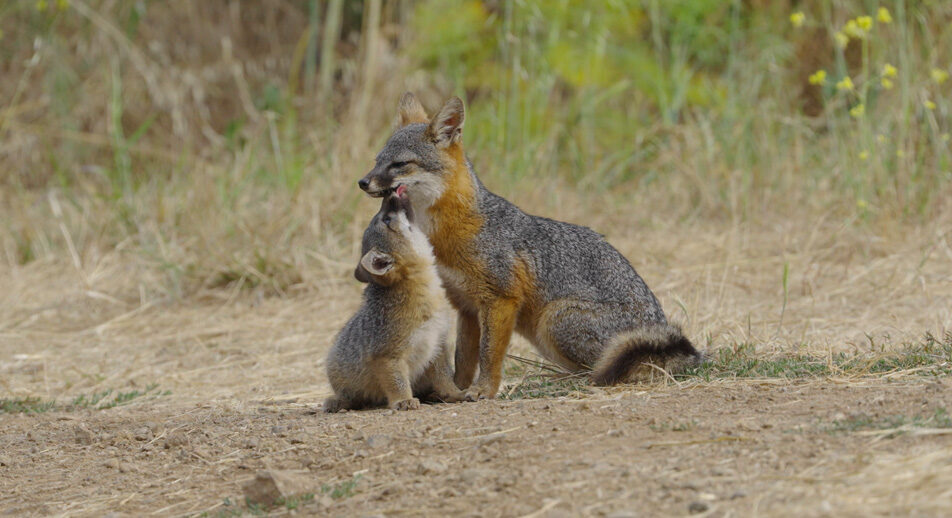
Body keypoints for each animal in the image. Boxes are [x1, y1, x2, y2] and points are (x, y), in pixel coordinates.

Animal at [323, 187, 464, 412]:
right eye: (387, 220)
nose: (389, 194)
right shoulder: (387, 354)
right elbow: (397, 382)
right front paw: (403, 400)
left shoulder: (437, 344)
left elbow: (445, 378)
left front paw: (455, 394)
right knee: (351, 398)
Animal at [356, 92, 702, 400]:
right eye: (376, 161)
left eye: (399, 164)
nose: (362, 182)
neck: (447, 233)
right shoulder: (466, 306)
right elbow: (464, 360)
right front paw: (455, 390)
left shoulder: (500, 298)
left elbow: (489, 355)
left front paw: (484, 390)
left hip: (554, 319)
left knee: (604, 368)